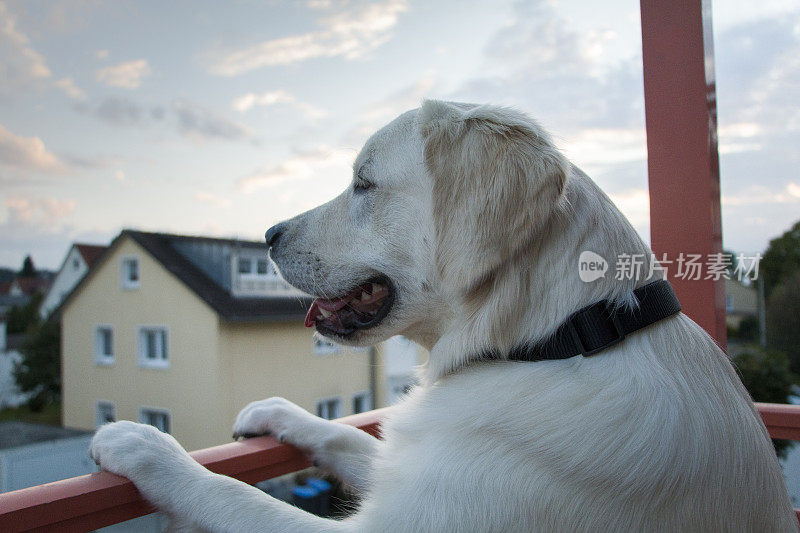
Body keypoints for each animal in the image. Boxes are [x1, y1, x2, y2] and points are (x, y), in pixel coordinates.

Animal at [90, 101, 796, 532]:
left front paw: (144, 445)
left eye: (363, 183)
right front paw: (278, 413)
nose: (267, 236)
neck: (561, 342)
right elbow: (347, 435)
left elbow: (229, 494)